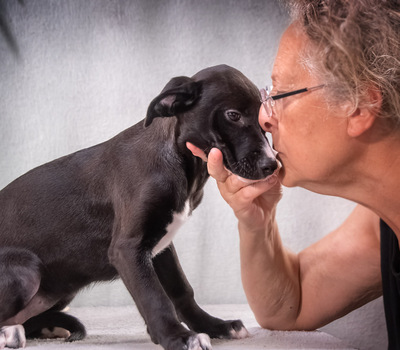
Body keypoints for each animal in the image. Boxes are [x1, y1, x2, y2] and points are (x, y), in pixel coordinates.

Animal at [0, 65, 276, 350]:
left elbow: (181, 289)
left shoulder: (160, 246)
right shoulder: (128, 248)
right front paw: (177, 336)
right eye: (233, 115)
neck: (182, 162)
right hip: (27, 272)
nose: (273, 165)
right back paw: (10, 333)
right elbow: (154, 296)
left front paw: (213, 326)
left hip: (63, 286)